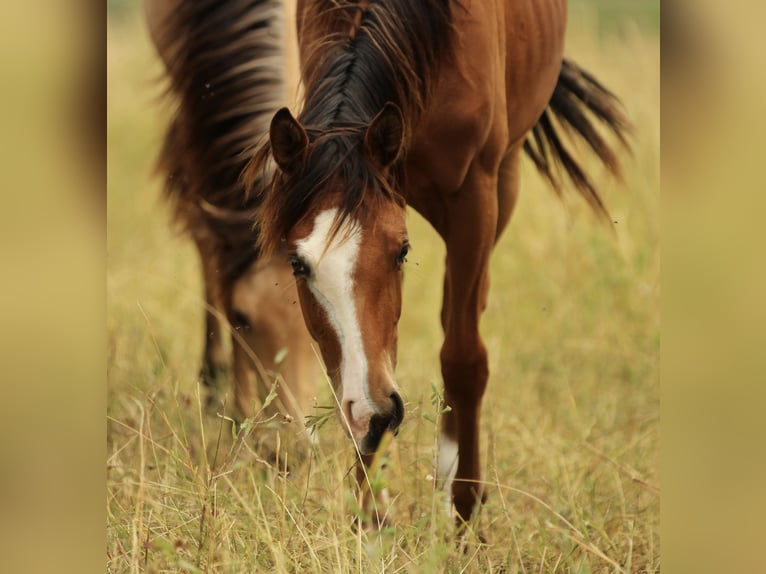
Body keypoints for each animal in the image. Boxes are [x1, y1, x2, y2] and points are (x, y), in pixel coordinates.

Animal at [247, 0, 630, 527]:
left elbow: (464, 358)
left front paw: (464, 511)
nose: (376, 416)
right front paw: (372, 517)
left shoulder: (476, 198)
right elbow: (352, 365)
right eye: (297, 264)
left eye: (402, 251)